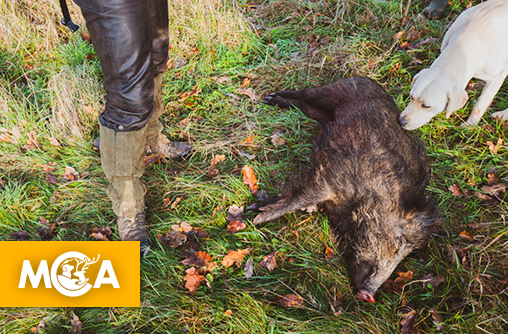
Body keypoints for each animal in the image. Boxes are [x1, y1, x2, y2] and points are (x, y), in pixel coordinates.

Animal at [398, 0, 508, 130]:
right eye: (411, 97)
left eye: (426, 106)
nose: (400, 121)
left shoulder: (497, 77)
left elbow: (481, 103)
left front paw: (470, 125)